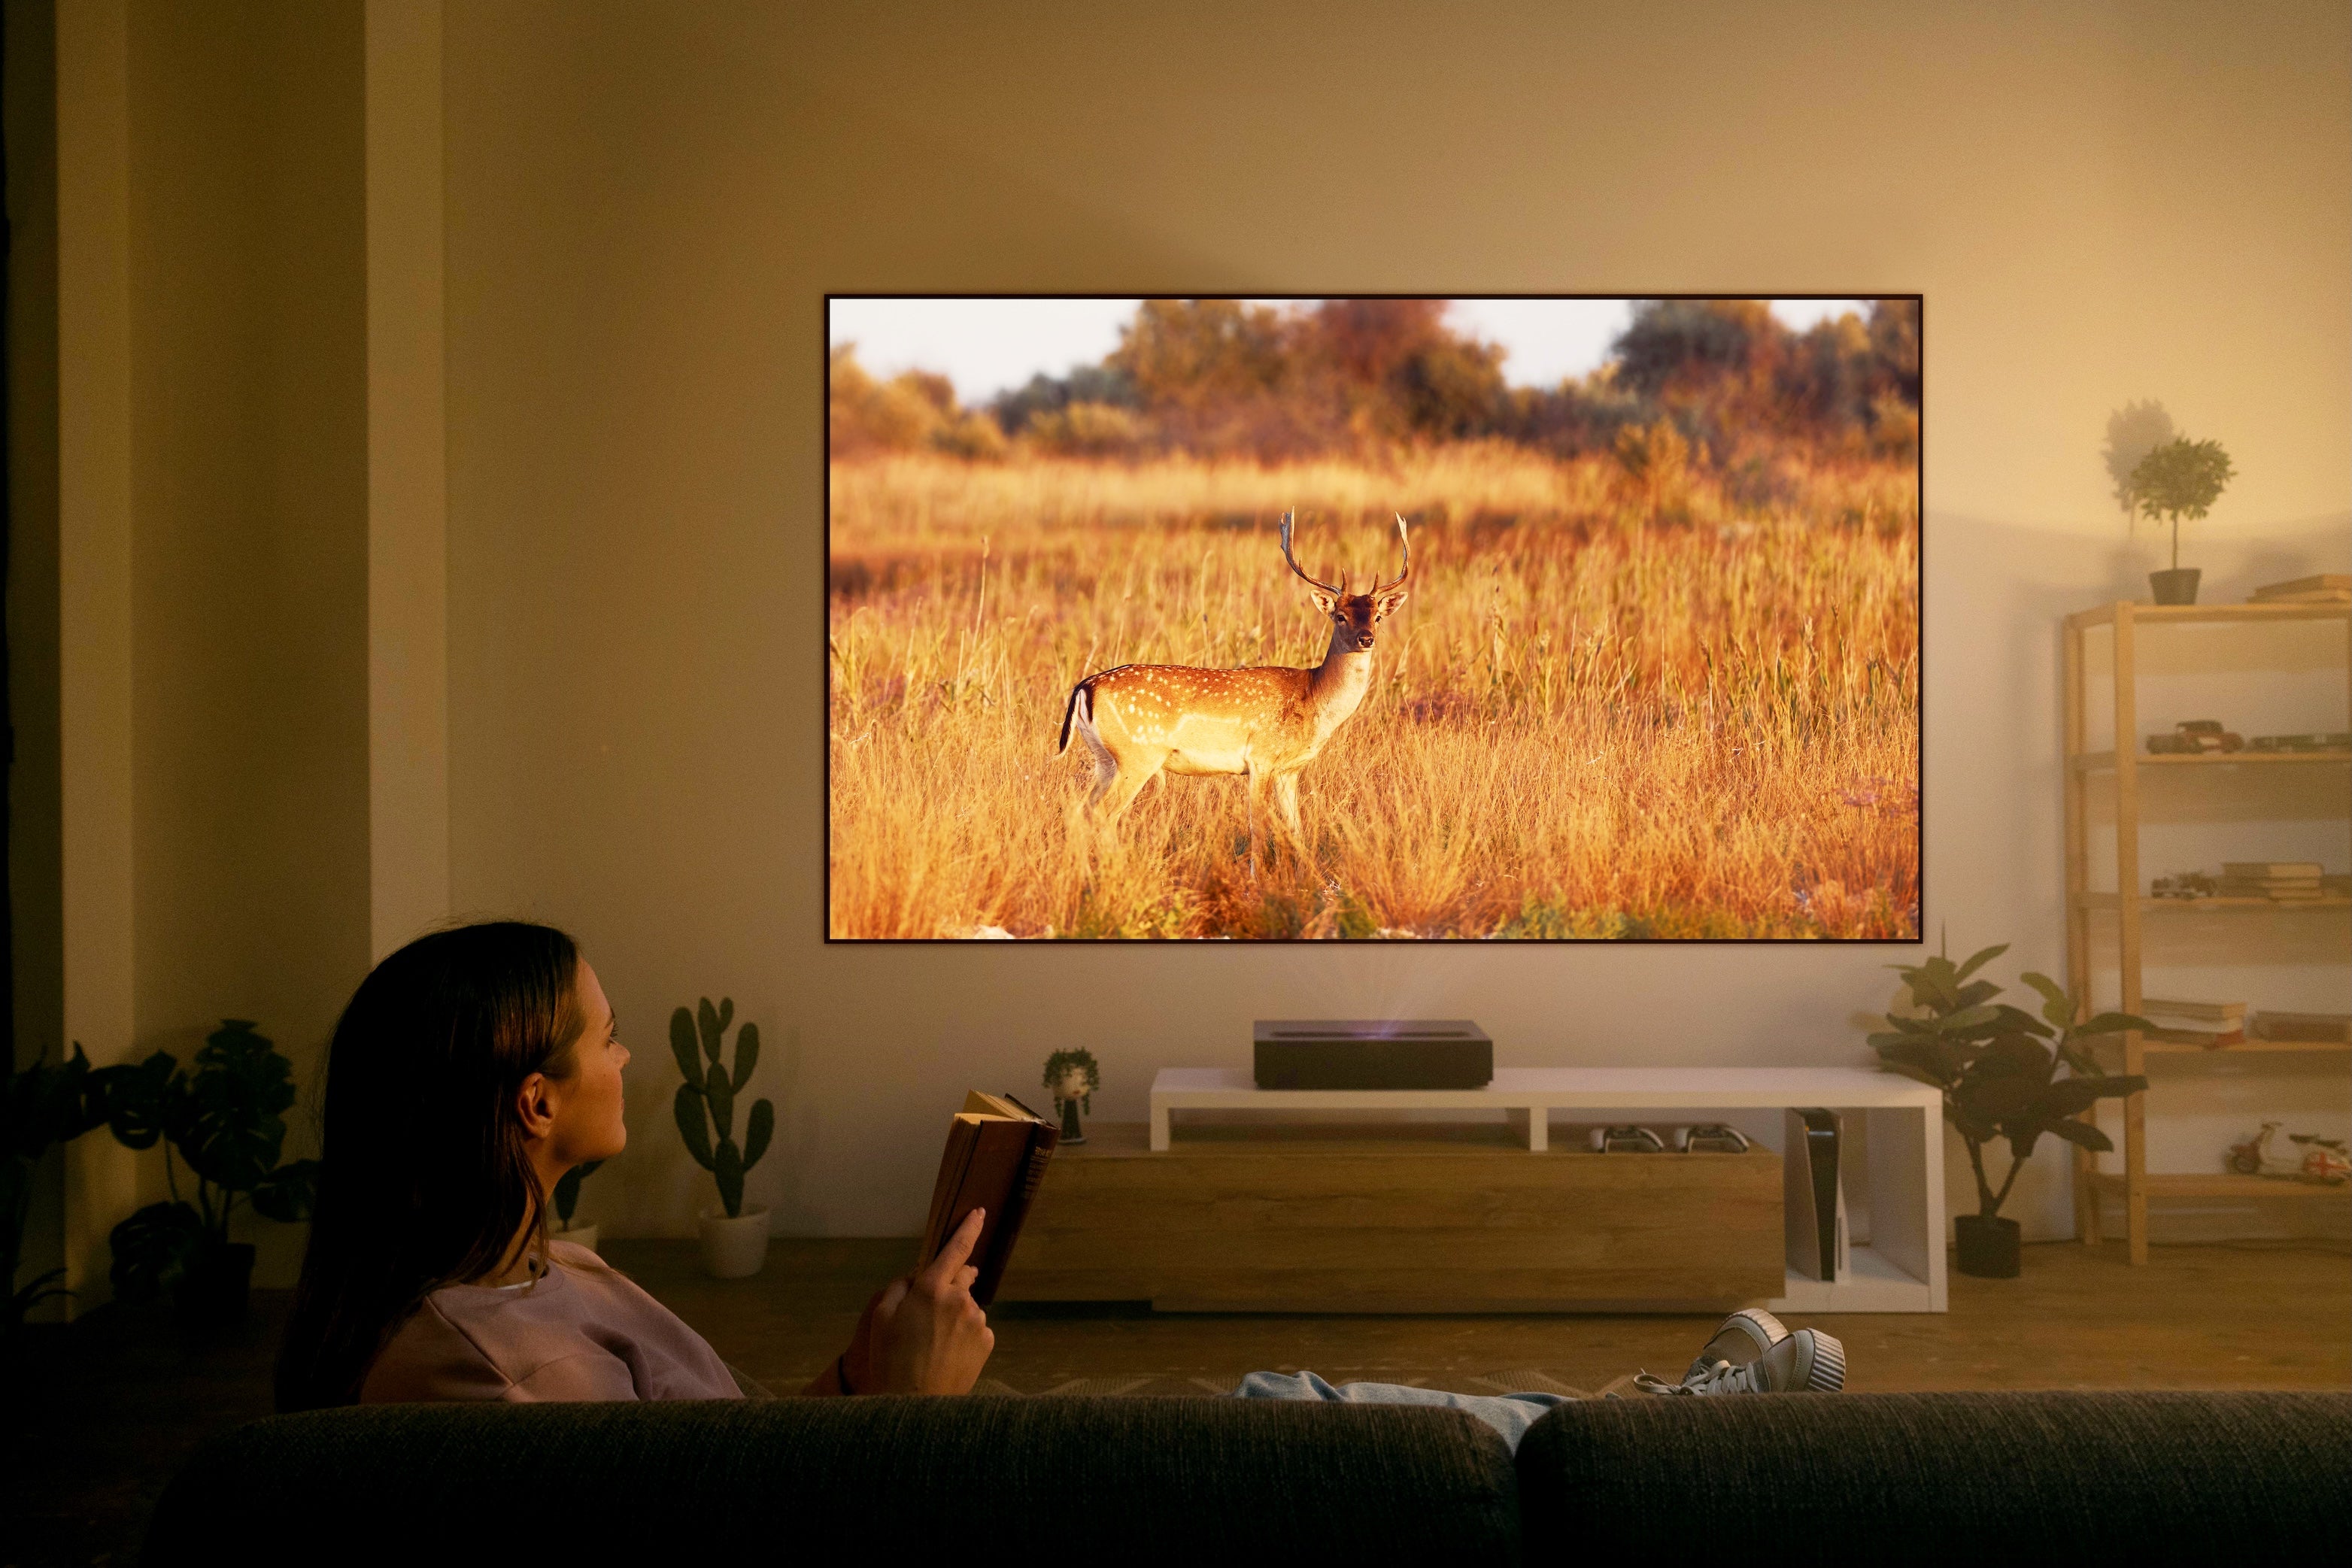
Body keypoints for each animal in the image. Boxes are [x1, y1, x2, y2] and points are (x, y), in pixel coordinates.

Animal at [1056, 511, 1410, 871]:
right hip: (1137, 755)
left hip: (1105, 758)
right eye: (1340, 616)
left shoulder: (1289, 770)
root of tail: (1085, 687)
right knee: (1103, 814)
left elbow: (1296, 830)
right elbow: (1258, 829)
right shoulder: (1261, 758)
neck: (1314, 699)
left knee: (1080, 811)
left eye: (1377, 617)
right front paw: (1256, 880)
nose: (1366, 639)